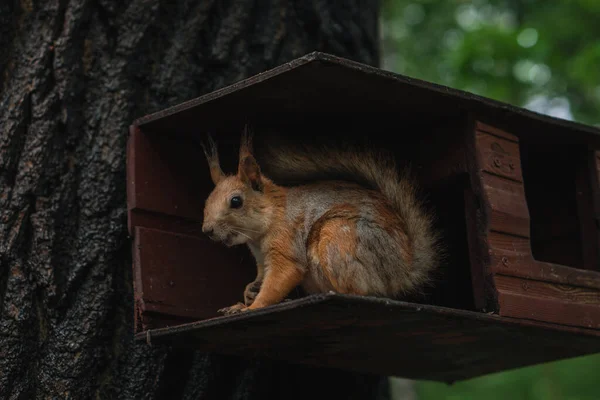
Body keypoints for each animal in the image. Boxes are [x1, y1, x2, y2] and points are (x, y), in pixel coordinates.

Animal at [202, 128, 440, 316]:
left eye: (236, 201)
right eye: (207, 199)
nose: (207, 230)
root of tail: (402, 270)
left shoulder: (286, 244)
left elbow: (280, 279)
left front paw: (252, 307)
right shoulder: (261, 259)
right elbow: (262, 277)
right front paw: (247, 295)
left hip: (338, 237)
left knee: (361, 291)